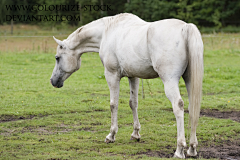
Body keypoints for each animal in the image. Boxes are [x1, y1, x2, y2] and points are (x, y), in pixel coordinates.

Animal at [50, 13, 202, 158]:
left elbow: (113, 104)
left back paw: (179, 150)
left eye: (57, 58)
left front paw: (111, 135)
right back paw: (192, 148)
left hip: (169, 81)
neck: (106, 31)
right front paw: (135, 134)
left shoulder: (111, 75)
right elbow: (133, 103)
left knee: (178, 106)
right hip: (189, 80)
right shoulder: (133, 76)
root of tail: (185, 27)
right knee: (192, 107)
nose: (53, 81)